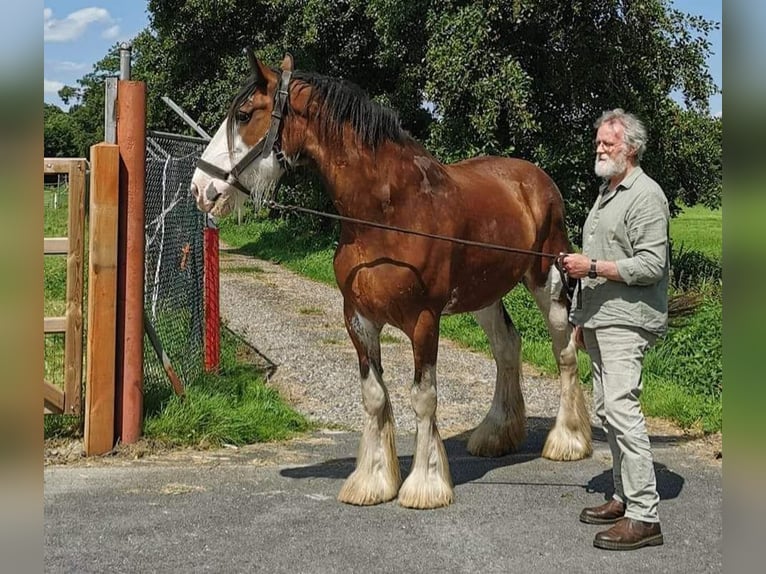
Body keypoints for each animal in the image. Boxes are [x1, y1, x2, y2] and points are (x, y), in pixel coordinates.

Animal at [192, 51, 592, 510]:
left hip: (549, 280)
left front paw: (425, 484)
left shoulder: (424, 320)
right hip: (483, 294)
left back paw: (567, 441)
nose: (201, 188)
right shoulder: (358, 318)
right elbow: (374, 395)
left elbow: (423, 396)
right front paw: (373, 480)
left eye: (243, 115)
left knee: (565, 352)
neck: (388, 213)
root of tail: (537, 180)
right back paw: (494, 434)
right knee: (507, 347)